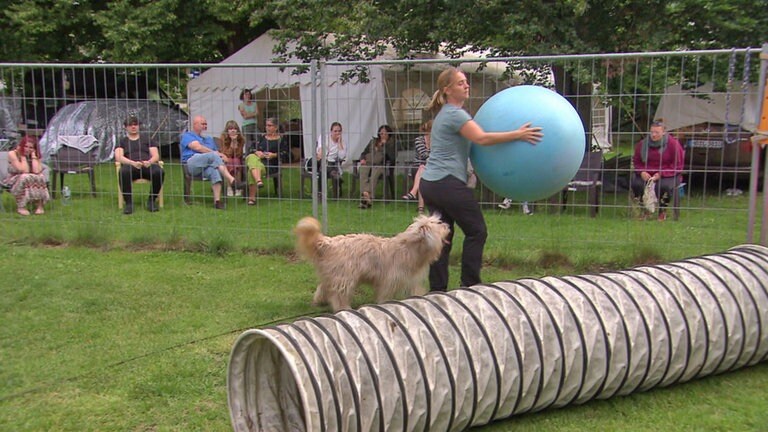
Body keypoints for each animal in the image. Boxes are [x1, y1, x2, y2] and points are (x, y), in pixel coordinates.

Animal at [294, 215, 450, 310]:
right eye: (439, 224)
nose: (447, 225)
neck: (411, 249)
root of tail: (329, 243)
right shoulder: (390, 280)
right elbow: (385, 294)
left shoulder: (410, 279)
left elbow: (416, 291)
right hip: (345, 277)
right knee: (339, 295)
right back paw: (344, 308)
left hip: (333, 274)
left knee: (323, 287)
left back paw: (320, 301)